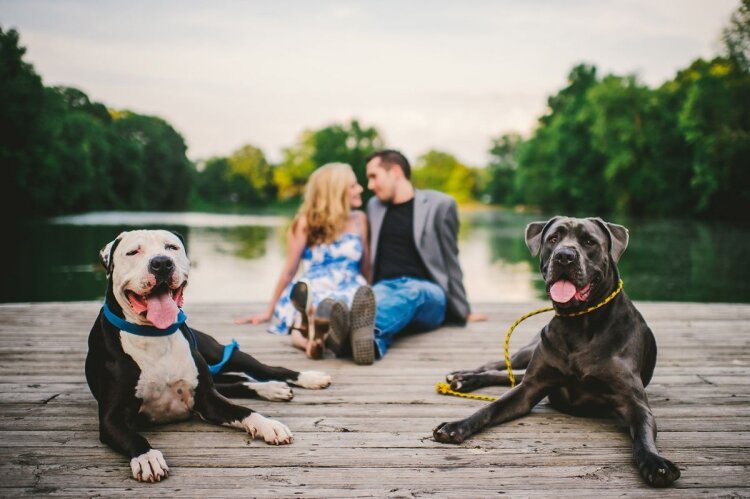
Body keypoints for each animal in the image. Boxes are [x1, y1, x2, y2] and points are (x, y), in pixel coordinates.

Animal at [86, 229, 332, 480]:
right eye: (133, 252)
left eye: (171, 247)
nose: (162, 263)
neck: (154, 334)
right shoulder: (111, 418)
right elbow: (133, 437)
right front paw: (147, 458)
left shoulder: (206, 398)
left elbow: (243, 410)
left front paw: (268, 424)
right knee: (238, 382)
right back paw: (273, 388)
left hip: (224, 353)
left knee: (267, 370)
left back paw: (307, 378)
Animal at [432, 216, 684, 488]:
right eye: (553, 239)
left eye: (589, 242)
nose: (564, 255)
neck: (579, 323)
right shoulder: (530, 388)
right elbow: (490, 408)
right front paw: (457, 425)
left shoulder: (633, 401)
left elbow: (643, 434)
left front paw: (655, 462)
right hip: (527, 351)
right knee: (498, 365)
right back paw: (462, 377)